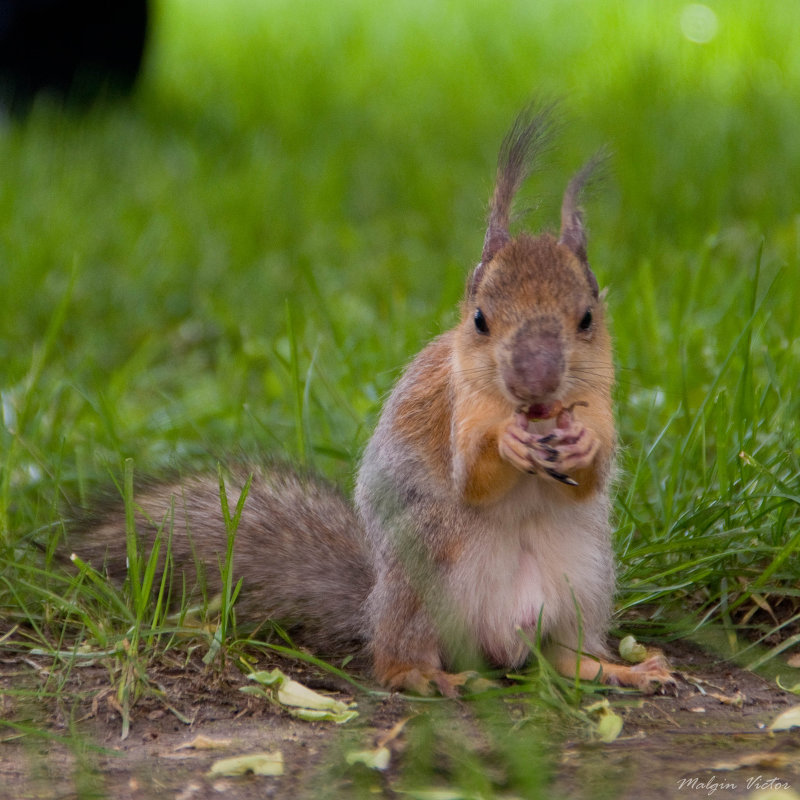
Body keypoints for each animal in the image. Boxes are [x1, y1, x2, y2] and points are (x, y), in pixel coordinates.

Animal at [75, 106, 676, 692]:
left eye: (588, 319)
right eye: (480, 320)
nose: (535, 382)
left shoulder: (600, 401)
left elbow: (593, 475)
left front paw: (580, 447)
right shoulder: (456, 408)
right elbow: (471, 478)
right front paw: (507, 443)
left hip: (586, 578)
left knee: (563, 657)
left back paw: (619, 669)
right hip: (427, 568)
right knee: (394, 660)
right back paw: (426, 676)